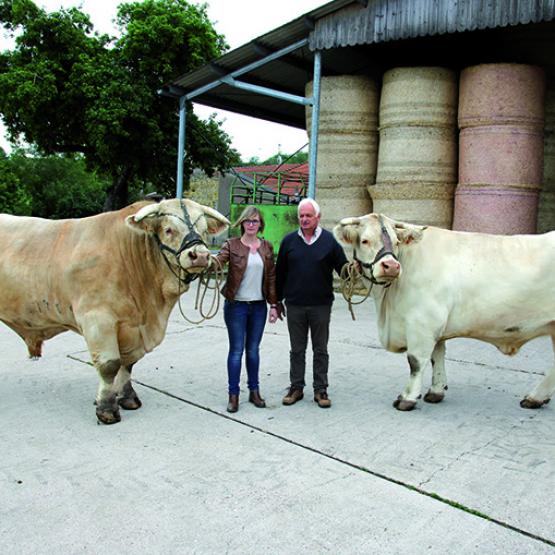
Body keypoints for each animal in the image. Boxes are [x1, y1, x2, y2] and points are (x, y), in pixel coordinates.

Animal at [0, 202, 228, 424]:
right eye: (168, 229)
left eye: (204, 230)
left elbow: (128, 364)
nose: (200, 255)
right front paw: (106, 409)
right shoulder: (97, 320)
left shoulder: (132, 328)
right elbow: (110, 365)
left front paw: (128, 398)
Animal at [334, 213, 555, 412]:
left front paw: (407, 398)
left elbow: (416, 361)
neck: (386, 305)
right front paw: (436, 391)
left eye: (397, 242)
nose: (391, 266)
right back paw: (535, 399)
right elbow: (436, 356)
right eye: (365, 240)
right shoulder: (433, 324)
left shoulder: (423, 321)